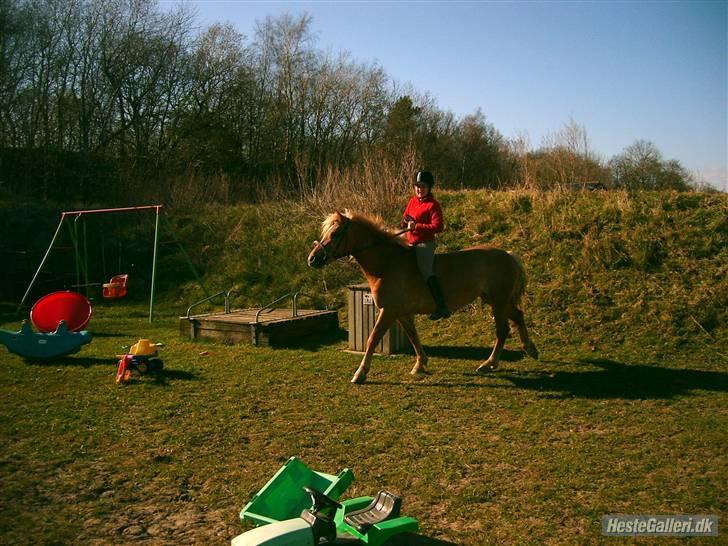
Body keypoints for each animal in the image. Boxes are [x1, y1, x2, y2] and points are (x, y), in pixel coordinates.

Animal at [304, 209, 536, 382]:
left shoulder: (389, 311)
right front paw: (420, 365)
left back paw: (489, 364)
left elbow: (373, 338)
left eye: (335, 234)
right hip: (496, 299)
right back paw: (530, 349)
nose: (312, 259)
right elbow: (413, 336)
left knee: (503, 330)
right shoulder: (402, 313)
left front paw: (360, 373)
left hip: (498, 301)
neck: (386, 264)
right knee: (518, 315)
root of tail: (509, 255)